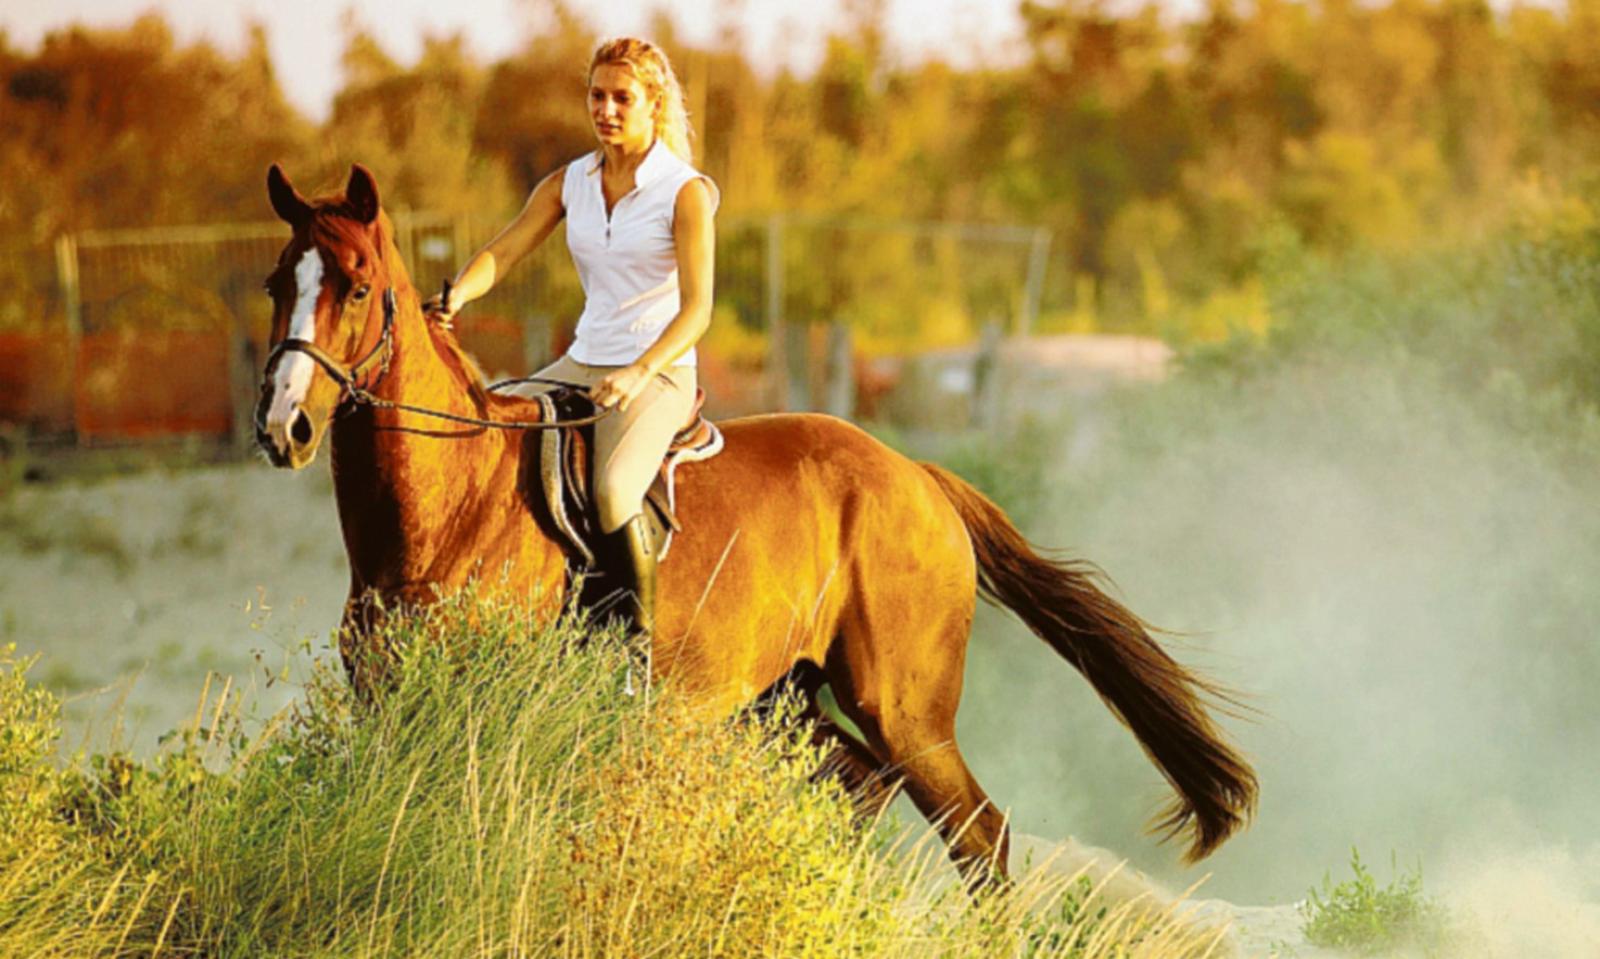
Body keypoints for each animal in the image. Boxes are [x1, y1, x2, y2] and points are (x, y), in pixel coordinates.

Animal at [254, 163, 1257, 881]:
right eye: (274, 285)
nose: (283, 426)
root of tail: (917, 477)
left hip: (903, 708)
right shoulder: (394, 712)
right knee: (856, 791)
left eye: (354, 287)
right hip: (784, 700)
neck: (449, 511)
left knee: (979, 837)